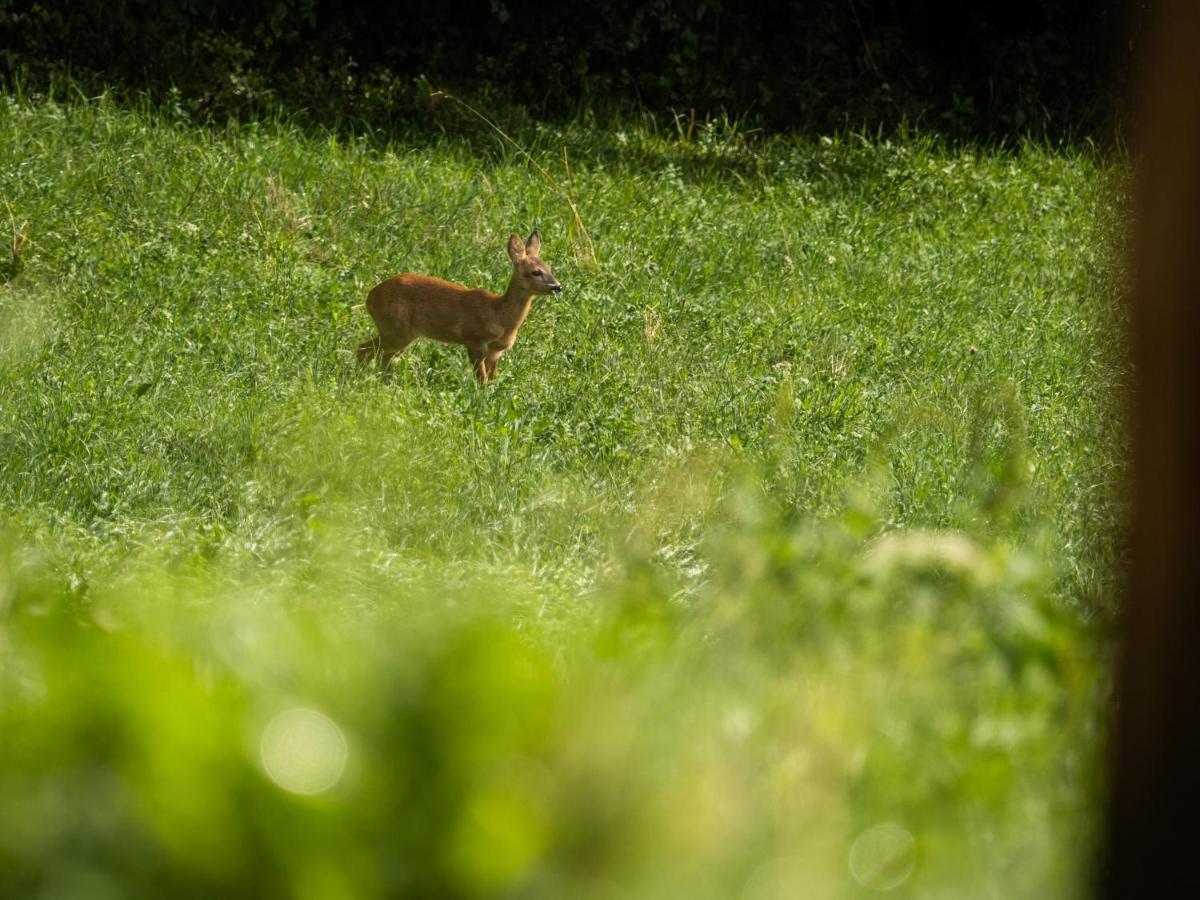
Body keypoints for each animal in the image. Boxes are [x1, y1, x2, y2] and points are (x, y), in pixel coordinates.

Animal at [355, 230, 561, 381]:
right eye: (536, 272)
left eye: (549, 268)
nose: (557, 286)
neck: (500, 315)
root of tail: (370, 298)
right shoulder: (474, 339)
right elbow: (482, 379)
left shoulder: (496, 351)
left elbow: (493, 378)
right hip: (396, 330)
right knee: (364, 349)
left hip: (401, 334)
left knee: (383, 357)